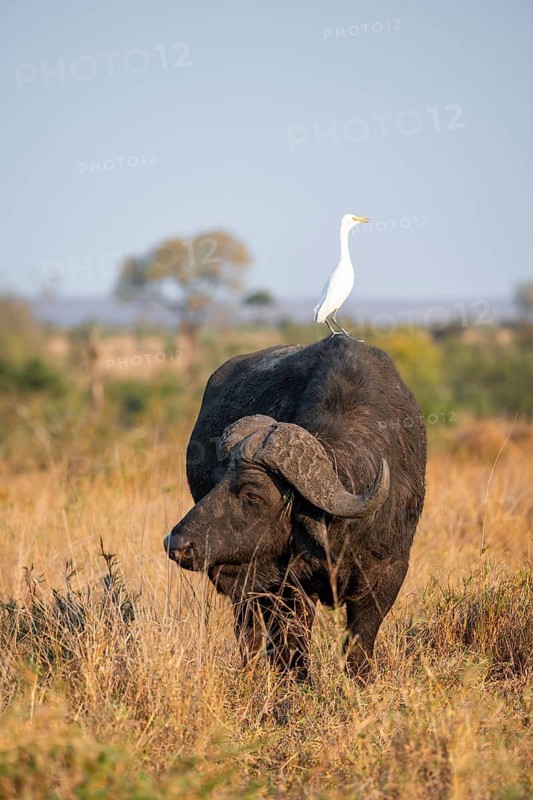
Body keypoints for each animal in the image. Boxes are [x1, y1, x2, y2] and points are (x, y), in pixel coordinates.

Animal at [164, 335, 426, 680]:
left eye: (252, 494)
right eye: (216, 482)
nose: (176, 543)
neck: (341, 528)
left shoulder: (388, 573)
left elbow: (359, 644)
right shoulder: (289, 586)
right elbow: (293, 648)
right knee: (250, 633)